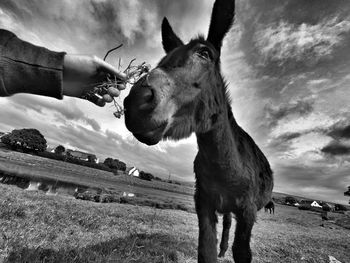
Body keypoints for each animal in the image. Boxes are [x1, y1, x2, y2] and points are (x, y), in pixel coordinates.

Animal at [123, 1, 274, 262]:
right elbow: (206, 251)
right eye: (164, 58)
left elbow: (242, 252)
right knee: (226, 222)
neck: (224, 167)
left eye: (205, 54)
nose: (136, 103)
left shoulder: (248, 211)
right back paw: (222, 248)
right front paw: (217, 251)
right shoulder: (203, 203)